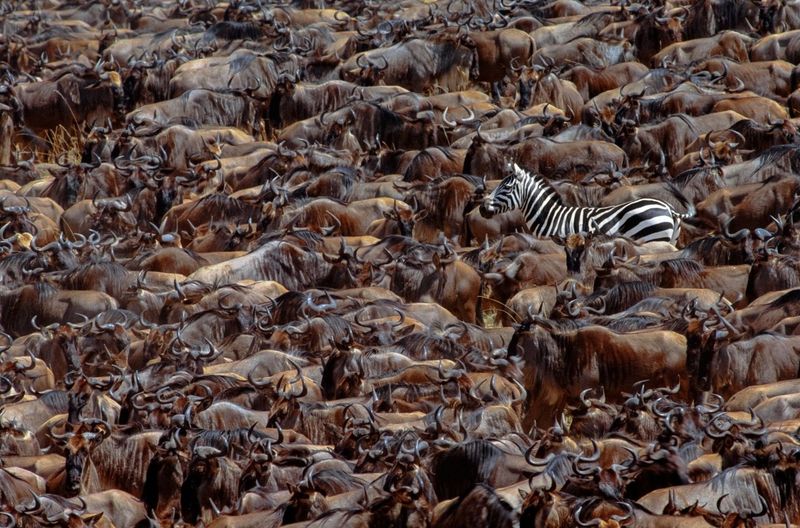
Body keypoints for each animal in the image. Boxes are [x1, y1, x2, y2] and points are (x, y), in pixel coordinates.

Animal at [482, 163, 692, 243]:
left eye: (506, 188)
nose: (482, 208)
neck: (550, 217)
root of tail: (668, 209)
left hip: (653, 237)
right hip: (671, 239)